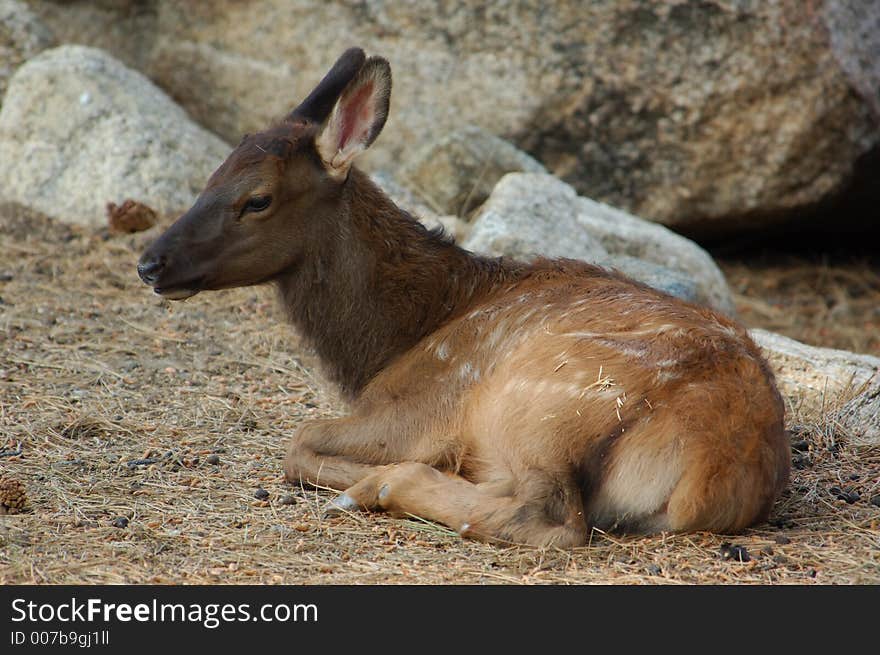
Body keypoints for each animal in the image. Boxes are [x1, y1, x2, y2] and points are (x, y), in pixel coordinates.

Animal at [139, 47, 792, 548]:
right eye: (210, 176)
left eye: (257, 199)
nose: (151, 262)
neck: (397, 338)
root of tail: (711, 471)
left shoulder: (419, 407)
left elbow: (298, 441)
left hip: (538, 407)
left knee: (550, 518)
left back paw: (382, 486)